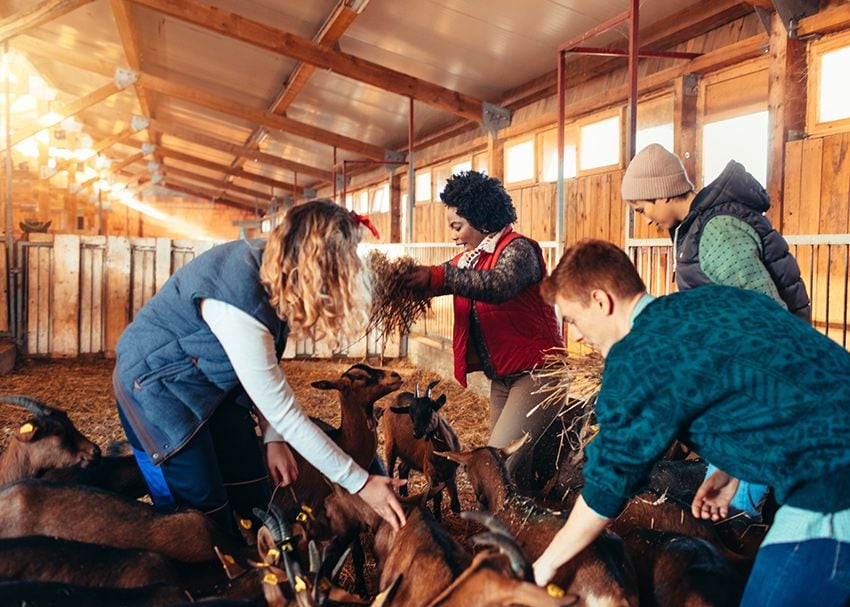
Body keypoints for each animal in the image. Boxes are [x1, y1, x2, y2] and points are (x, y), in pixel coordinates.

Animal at [382, 380, 460, 516]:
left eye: (430, 409)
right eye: (411, 412)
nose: (417, 432)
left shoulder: (451, 472)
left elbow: (455, 502)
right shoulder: (431, 472)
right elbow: (437, 496)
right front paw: (437, 516)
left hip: (409, 454)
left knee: (402, 468)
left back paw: (404, 494)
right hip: (390, 444)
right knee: (390, 471)